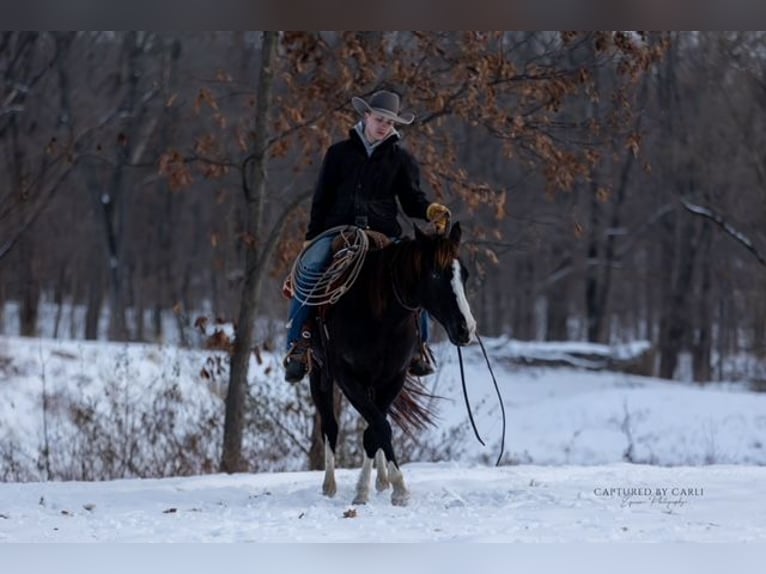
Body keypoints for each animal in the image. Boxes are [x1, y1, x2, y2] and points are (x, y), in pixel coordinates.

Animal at [308, 221, 476, 506]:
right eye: (435, 275)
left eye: (462, 274)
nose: (466, 328)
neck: (380, 318)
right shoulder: (347, 378)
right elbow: (379, 427)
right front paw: (397, 488)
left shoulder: (393, 379)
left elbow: (375, 430)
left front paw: (377, 486)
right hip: (319, 374)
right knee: (329, 426)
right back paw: (329, 484)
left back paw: (381, 480)